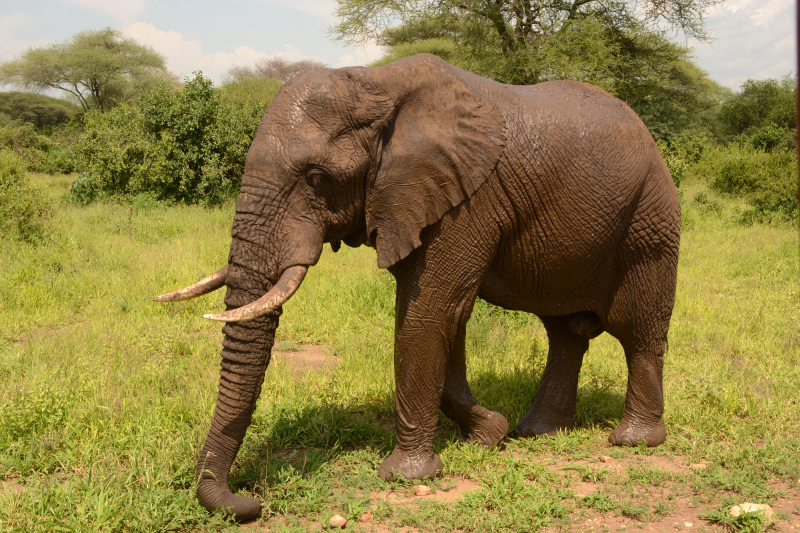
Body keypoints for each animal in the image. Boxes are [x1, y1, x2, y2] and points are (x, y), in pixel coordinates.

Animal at [155, 53, 680, 520]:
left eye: (317, 179)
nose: (250, 502)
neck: (377, 83)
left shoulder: (466, 199)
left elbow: (429, 314)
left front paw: (407, 476)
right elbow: (448, 321)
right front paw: (488, 433)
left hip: (650, 216)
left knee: (637, 329)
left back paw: (633, 441)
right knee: (565, 332)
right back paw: (539, 432)